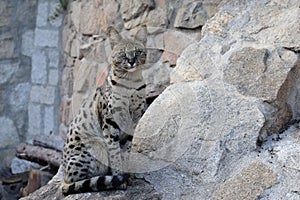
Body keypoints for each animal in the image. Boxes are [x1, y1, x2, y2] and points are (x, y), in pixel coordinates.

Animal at [61, 25, 148, 195]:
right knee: (72, 184)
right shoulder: (110, 123)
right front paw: (120, 178)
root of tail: (63, 174)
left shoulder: (133, 123)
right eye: (122, 53)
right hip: (95, 145)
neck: (131, 83)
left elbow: (126, 152)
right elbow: (115, 154)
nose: (131, 61)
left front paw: (128, 177)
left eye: (138, 51)